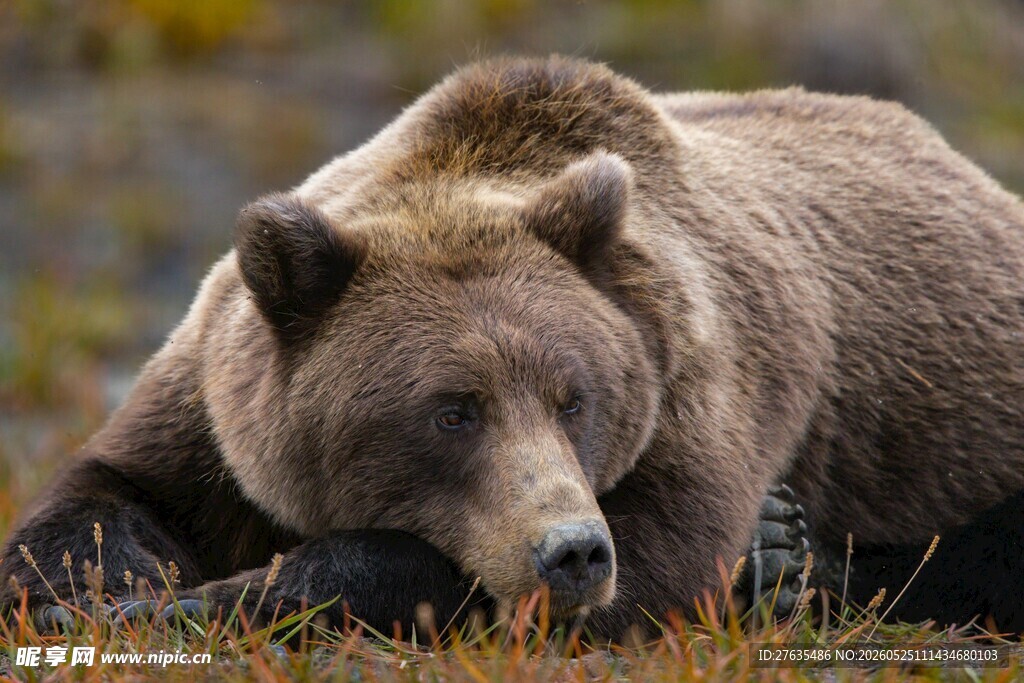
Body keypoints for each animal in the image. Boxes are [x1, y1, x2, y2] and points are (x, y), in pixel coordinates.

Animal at [2, 56, 1023, 640]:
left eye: (576, 397)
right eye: (451, 410)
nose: (572, 551)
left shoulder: (699, 368)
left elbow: (667, 550)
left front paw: (208, 599)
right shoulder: (215, 405)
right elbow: (103, 496)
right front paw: (112, 590)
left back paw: (790, 558)